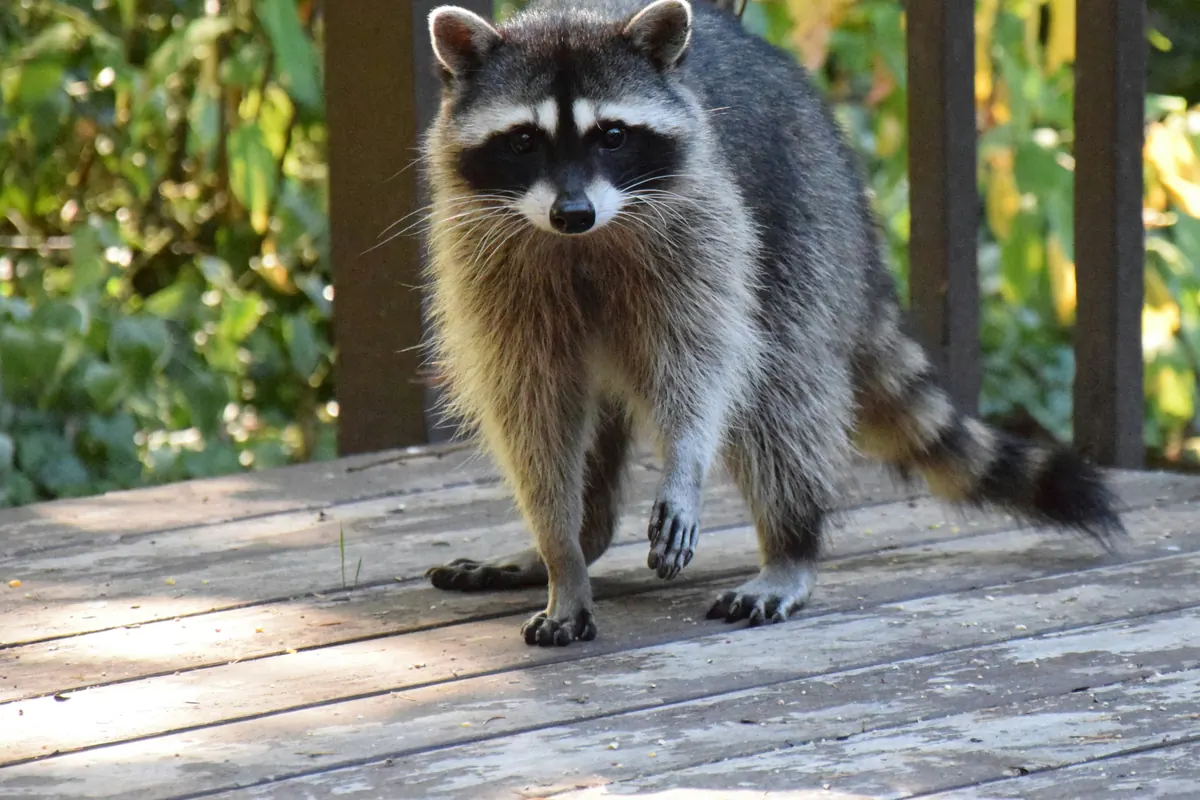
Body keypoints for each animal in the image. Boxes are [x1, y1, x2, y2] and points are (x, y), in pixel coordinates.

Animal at [419, 0, 1124, 647]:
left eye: (612, 136)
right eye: (523, 141)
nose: (572, 212)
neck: (582, 243)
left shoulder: (702, 226)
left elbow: (704, 364)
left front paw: (685, 461)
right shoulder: (489, 261)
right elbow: (532, 411)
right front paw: (560, 554)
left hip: (802, 223)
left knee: (778, 393)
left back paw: (791, 545)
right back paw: (582, 538)